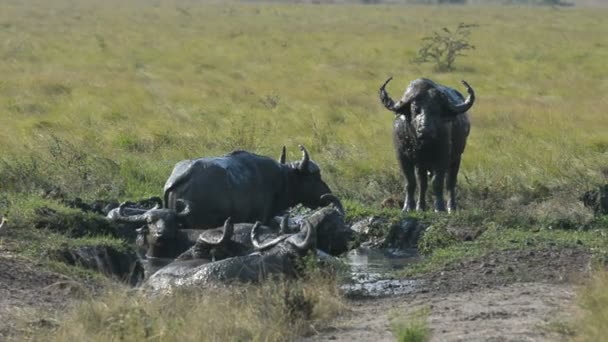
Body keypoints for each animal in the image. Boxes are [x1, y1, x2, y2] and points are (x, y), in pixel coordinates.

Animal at [380, 77, 476, 214]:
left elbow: (437, 183)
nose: (425, 130)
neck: (422, 145)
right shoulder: (402, 157)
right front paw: (408, 207)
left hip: (456, 158)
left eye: (437, 110)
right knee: (423, 184)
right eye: (415, 109)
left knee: (450, 183)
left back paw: (451, 207)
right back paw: (420, 207)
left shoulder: (442, 158)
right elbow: (410, 182)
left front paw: (439, 208)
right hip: (421, 165)